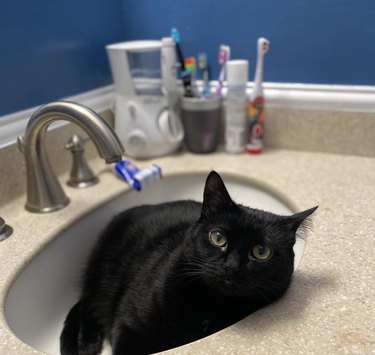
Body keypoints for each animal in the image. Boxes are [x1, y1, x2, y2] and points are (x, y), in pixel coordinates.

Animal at [61, 171, 318, 354]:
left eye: (262, 251)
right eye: (218, 238)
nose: (231, 266)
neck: (209, 304)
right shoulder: (127, 327)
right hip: (100, 273)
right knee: (88, 303)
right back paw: (87, 343)